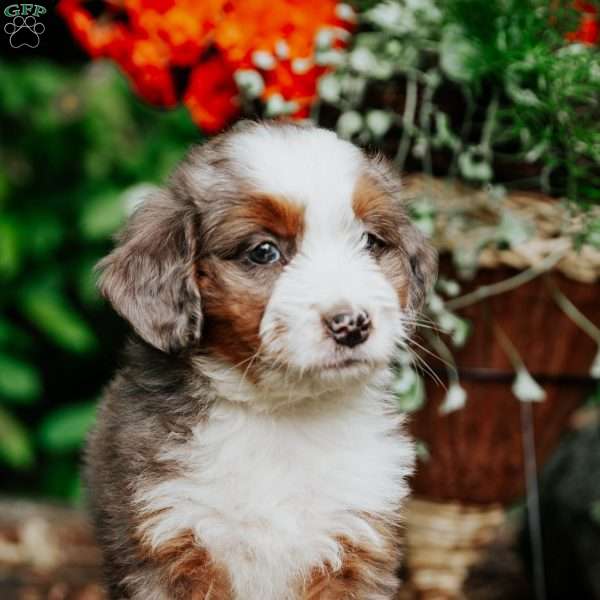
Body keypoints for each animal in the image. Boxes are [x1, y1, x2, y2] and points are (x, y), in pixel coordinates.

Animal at [88, 119, 436, 596]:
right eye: (264, 251)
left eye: (369, 241)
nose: (352, 324)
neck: (281, 414)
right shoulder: (170, 541)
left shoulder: (354, 539)